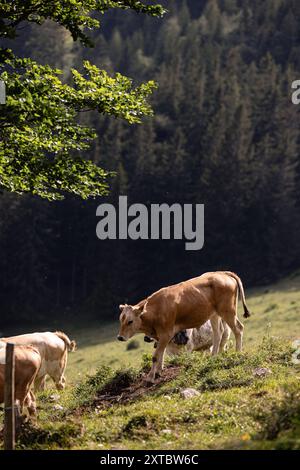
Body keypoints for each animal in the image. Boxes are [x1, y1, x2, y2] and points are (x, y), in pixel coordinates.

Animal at [117, 272, 251, 382]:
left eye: (130, 321)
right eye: (121, 319)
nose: (119, 337)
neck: (156, 309)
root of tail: (223, 273)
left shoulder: (166, 334)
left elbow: (156, 356)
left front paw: (150, 377)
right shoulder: (161, 337)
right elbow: (161, 355)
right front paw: (158, 372)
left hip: (228, 311)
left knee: (238, 329)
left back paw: (238, 353)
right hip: (214, 314)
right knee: (218, 334)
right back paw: (213, 357)